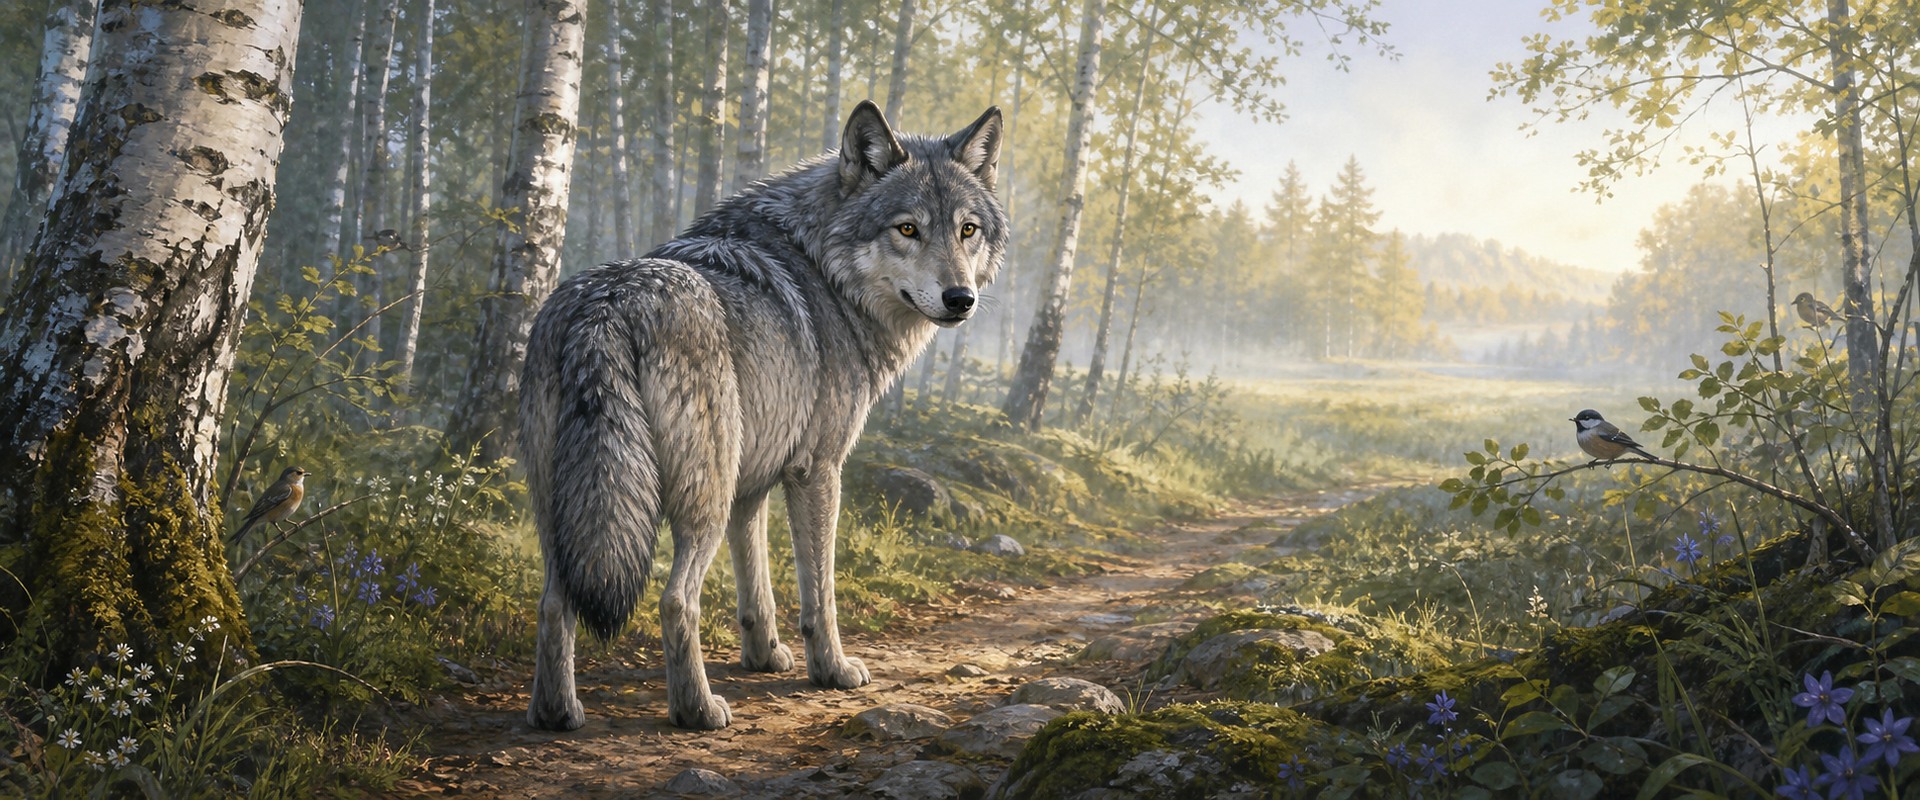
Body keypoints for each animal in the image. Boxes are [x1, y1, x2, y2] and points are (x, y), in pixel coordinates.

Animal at [519, 101, 1006, 730]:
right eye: (907, 229)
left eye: (967, 230)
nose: (960, 299)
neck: (824, 270)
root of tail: (607, 307)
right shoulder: (816, 470)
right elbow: (819, 591)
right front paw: (831, 671)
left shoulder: (751, 487)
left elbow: (757, 586)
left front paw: (764, 657)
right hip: (702, 496)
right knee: (676, 601)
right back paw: (698, 710)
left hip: (568, 510)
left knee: (555, 602)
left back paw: (558, 713)